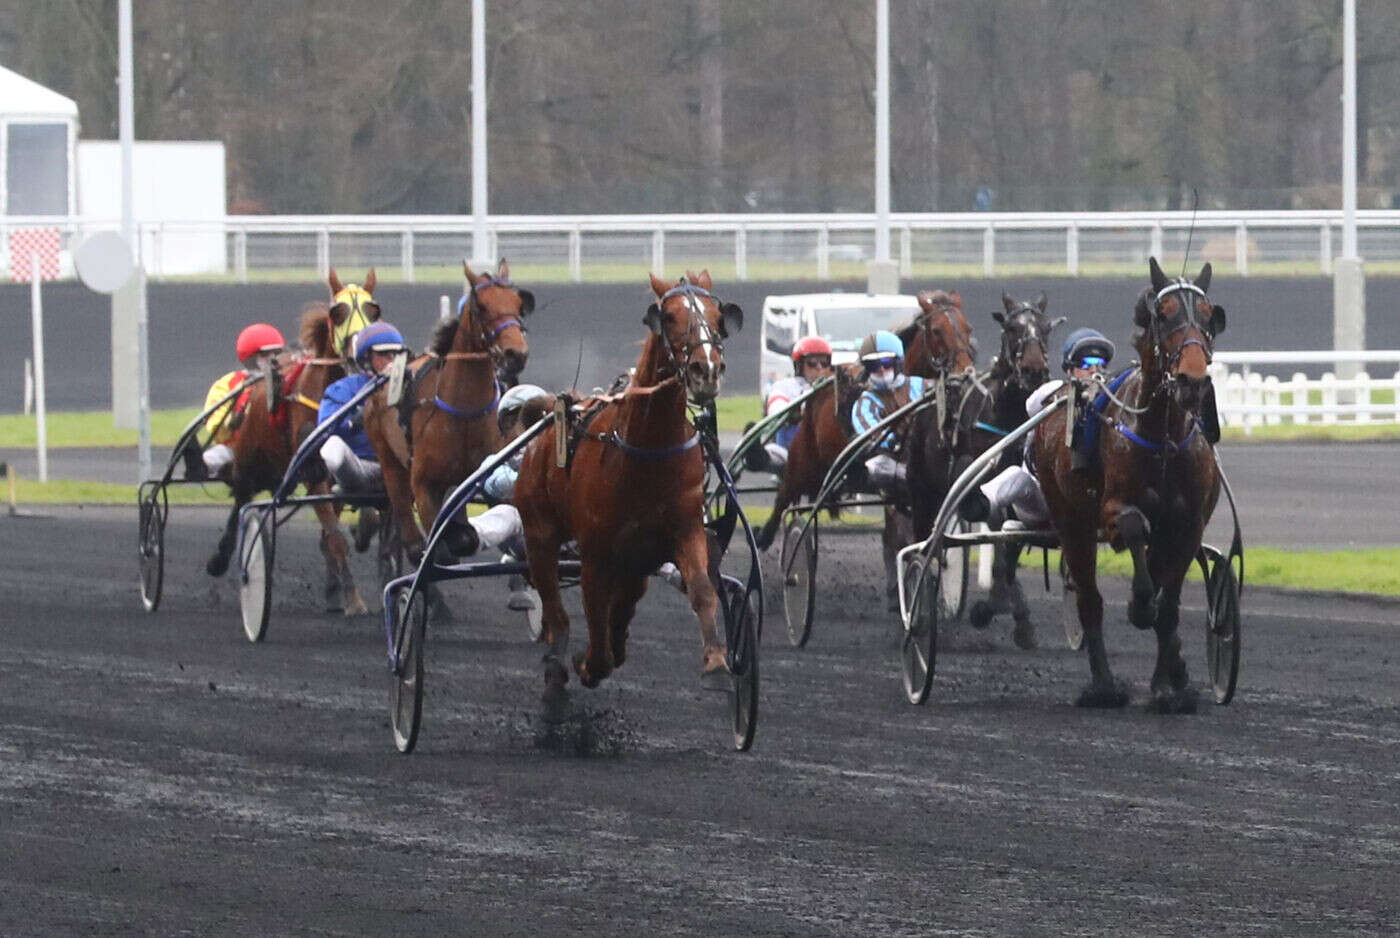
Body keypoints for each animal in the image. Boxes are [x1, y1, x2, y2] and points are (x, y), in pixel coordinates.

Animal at [203, 268, 378, 616]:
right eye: (338, 312)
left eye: (373, 309)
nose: (359, 352)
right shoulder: (314, 475)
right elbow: (335, 538)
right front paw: (353, 599)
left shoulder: (342, 470)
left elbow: (349, 523)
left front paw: (338, 584)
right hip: (250, 466)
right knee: (240, 503)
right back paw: (221, 558)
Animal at [364, 260, 532, 562]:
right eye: (482, 307)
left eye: (518, 304)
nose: (516, 353)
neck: (464, 412)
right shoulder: (425, 485)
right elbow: (437, 548)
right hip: (388, 458)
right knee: (406, 520)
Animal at [515, 268, 744, 702]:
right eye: (668, 316)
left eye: (717, 314)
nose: (706, 370)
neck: (647, 450)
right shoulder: (596, 552)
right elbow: (593, 618)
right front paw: (586, 663)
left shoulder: (682, 529)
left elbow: (702, 589)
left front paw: (717, 663)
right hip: (539, 531)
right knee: (554, 602)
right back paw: (558, 664)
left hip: (635, 561)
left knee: (622, 607)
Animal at [1030, 257, 1226, 714]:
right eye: (1164, 314)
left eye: (1208, 314)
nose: (1192, 379)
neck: (1163, 438)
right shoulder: (1111, 509)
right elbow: (1135, 529)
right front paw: (1139, 605)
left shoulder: (1188, 526)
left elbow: (1169, 606)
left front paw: (1168, 687)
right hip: (1071, 523)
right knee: (1089, 599)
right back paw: (1103, 686)